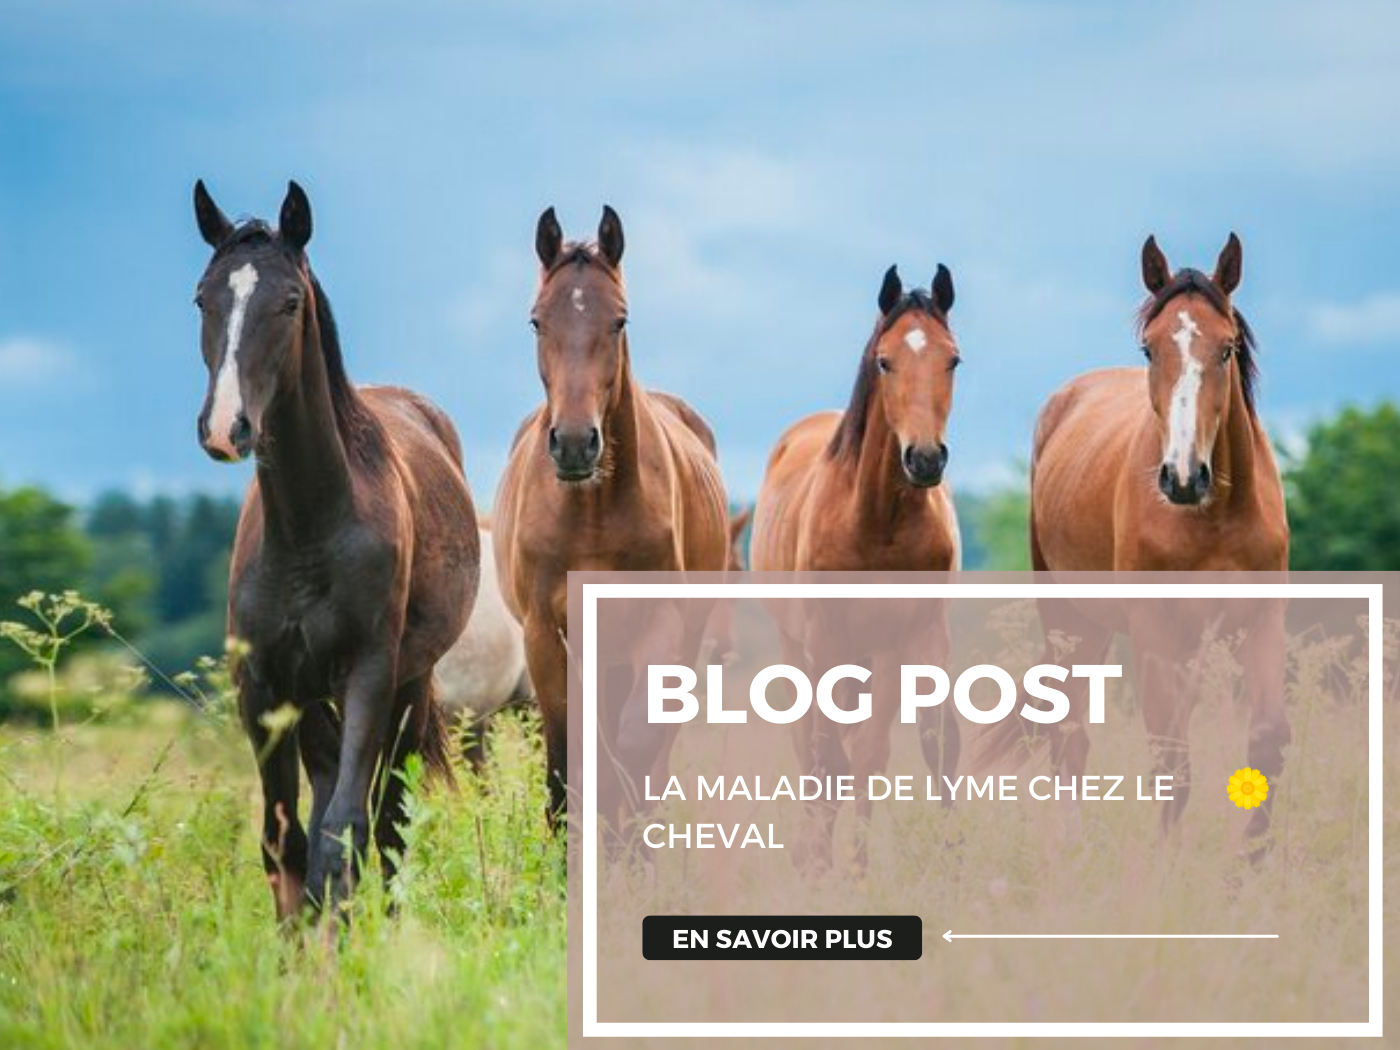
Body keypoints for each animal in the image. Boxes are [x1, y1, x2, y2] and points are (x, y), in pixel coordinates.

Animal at [191, 180, 480, 919]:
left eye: (290, 302)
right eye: (203, 297)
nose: (227, 427)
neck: (308, 529)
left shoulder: (370, 675)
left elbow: (346, 827)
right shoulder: (263, 687)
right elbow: (283, 836)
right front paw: (300, 941)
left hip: (406, 689)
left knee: (388, 817)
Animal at [492, 206, 730, 826]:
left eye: (619, 321)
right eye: (536, 321)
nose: (576, 443)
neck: (592, 514)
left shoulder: (657, 625)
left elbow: (635, 746)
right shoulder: (545, 635)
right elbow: (566, 758)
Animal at [750, 264, 963, 870]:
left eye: (952, 359)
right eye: (885, 361)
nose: (925, 458)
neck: (874, 522)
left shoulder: (906, 640)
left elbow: (882, 751)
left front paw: (863, 868)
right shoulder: (826, 645)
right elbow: (829, 758)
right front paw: (822, 863)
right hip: (804, 651)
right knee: (811, 748)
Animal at [988, 233, 1289, 842]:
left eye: (1227, 348)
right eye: (1150, 349)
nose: (1183, 476)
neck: (1215, 517)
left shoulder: (1262, 618)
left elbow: (1266, 743)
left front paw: (1252, 860)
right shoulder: (1154, 629)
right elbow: (1172, 763)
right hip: (1069, 620)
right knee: (1070, 738)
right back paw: (1072, 846)